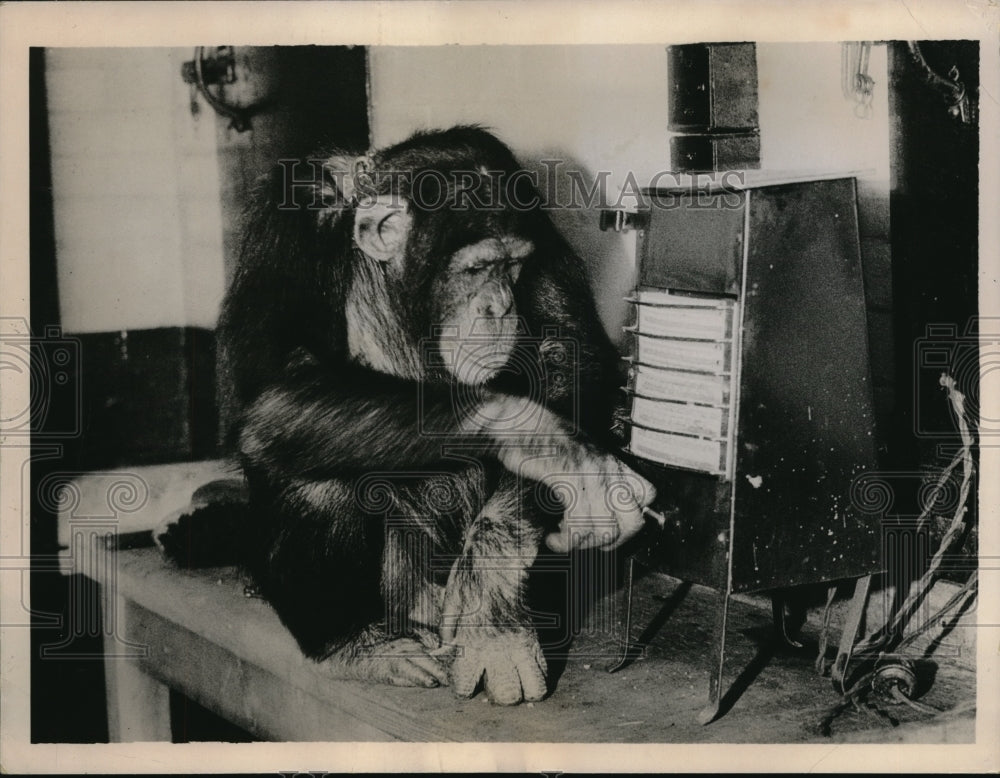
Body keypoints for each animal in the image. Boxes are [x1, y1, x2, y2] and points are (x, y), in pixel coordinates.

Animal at [219, 124, 656, 700]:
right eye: (476, 268)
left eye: (513, 266)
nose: (499, 306)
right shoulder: (290, 222)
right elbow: (278, 386)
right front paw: (541, 439)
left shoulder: (537, 226)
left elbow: (570, 360)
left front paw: (492, 590)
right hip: (401, 596)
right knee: (307, 464)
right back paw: (358, 645)